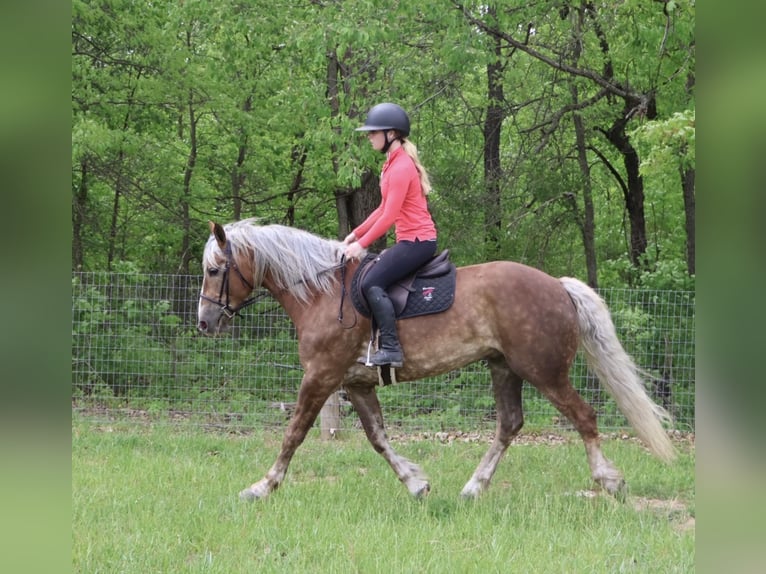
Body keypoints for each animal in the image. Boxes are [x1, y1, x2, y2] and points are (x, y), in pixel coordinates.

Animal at [197, 218, 675, 502]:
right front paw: (416, 483)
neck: (321, 293)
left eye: (215, 270)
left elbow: (293, 434)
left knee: (583, 416)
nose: (204, 322)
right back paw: (474, 487)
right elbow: (377, 438)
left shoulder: (320, 376)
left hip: (544, 371)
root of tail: (557, 286)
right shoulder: (355, 383)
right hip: (504, 367)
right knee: (510, 424)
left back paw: (608, 480)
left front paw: (262, 486)